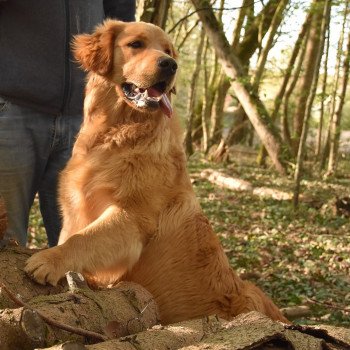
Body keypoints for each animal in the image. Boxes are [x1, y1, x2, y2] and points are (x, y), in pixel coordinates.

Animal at [23, 20, 288, 324]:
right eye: (136, 44)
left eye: (168, 51)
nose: (170, 65)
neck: (119, 134)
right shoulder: (75, 207)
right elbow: (71, 234)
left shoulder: (133, 219)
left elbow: (83, 238)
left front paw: (49, 259)